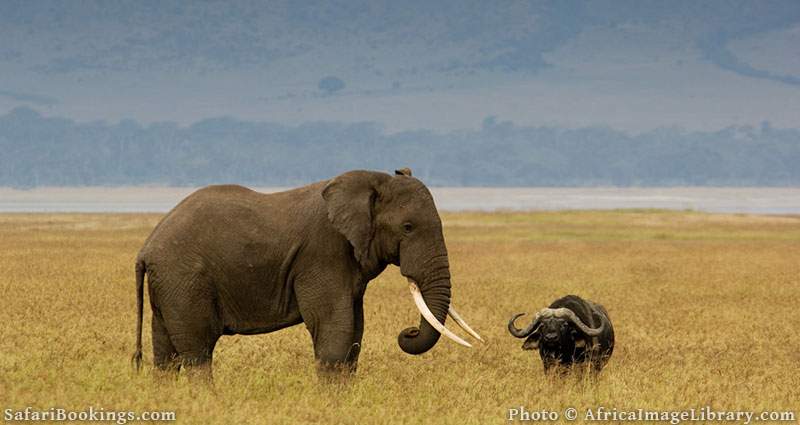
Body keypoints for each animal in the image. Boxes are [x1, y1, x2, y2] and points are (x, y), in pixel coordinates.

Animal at [132, 167, 482, 376]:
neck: (372, 179)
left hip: (169, 284)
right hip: (184, 279)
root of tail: (146, 248)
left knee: (165, 353)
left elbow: (355, 333)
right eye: (408, 228)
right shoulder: (323, 254)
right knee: (197, 351)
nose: (407, 332)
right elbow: (334, 329)